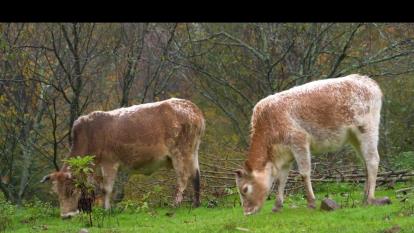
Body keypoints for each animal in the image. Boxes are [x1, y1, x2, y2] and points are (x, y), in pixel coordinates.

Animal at [41, 97, 205, 218]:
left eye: (71, 191)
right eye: (56, 193)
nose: (66, 216)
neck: (90, 134)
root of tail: (192, 108)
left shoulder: (109, 162)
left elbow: (106, 188)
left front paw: (106, 210)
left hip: (180, 153)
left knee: (183, 178)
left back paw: (175, 204)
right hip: (193, 151)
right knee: (196, 175)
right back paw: (196, 203)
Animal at [236, 74, 388, 215]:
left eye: (245, 189)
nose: (247, 212)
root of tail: (367, 80)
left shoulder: (299, 140)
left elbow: (304, 173)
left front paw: (311, 202)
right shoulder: (285, 154)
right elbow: (281, 179)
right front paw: (277, 206)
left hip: (367, 130)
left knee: (373, 160)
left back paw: (370, 198)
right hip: (355, 138)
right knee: (365, 163)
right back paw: (364, 197)